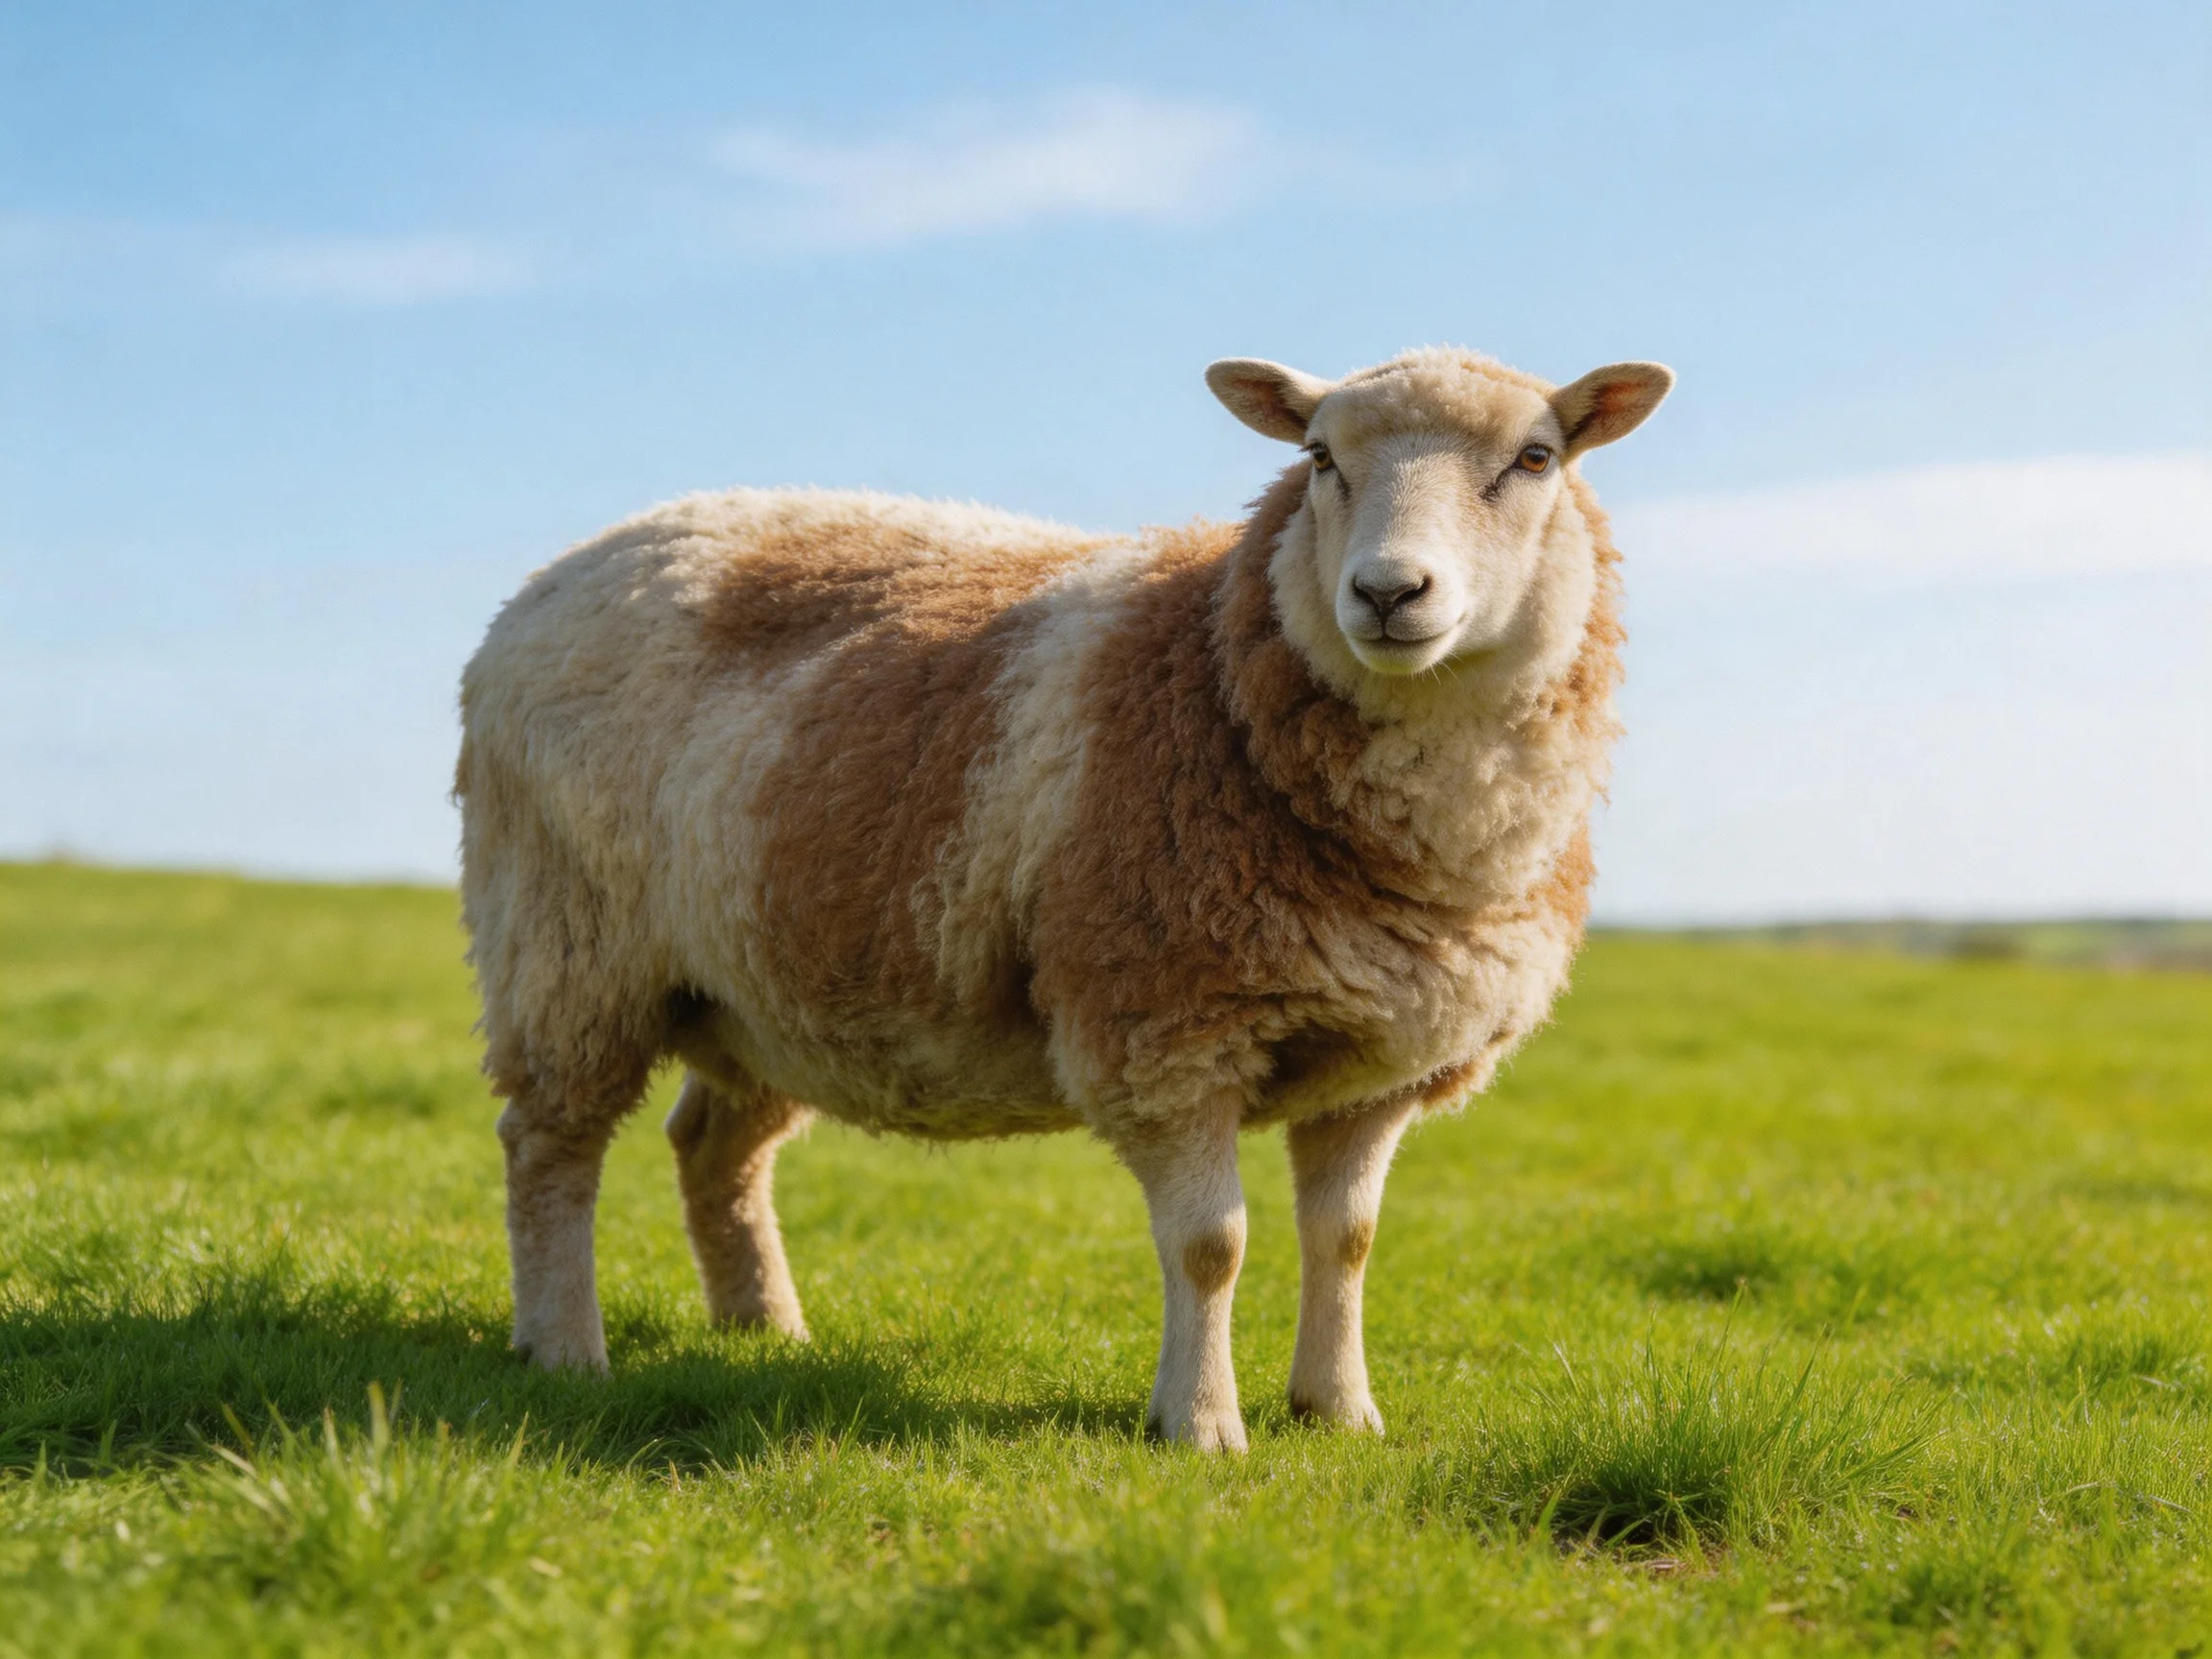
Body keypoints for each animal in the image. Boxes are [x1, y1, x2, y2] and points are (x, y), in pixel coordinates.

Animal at [456, 346, 1672, 1451]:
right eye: (1321, 457)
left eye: (1535, 458)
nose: (1386, 593)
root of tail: (564, 570)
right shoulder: (1165, 1024)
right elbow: (1212, 1246)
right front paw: (1201, 1424)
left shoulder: (1381, 1061)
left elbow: (1348, 1240)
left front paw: (1338, 1412)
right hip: (565, 940)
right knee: (549, 1143)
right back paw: (564, 1349)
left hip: (758, 988)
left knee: (714, 1147)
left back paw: (765, 1330)